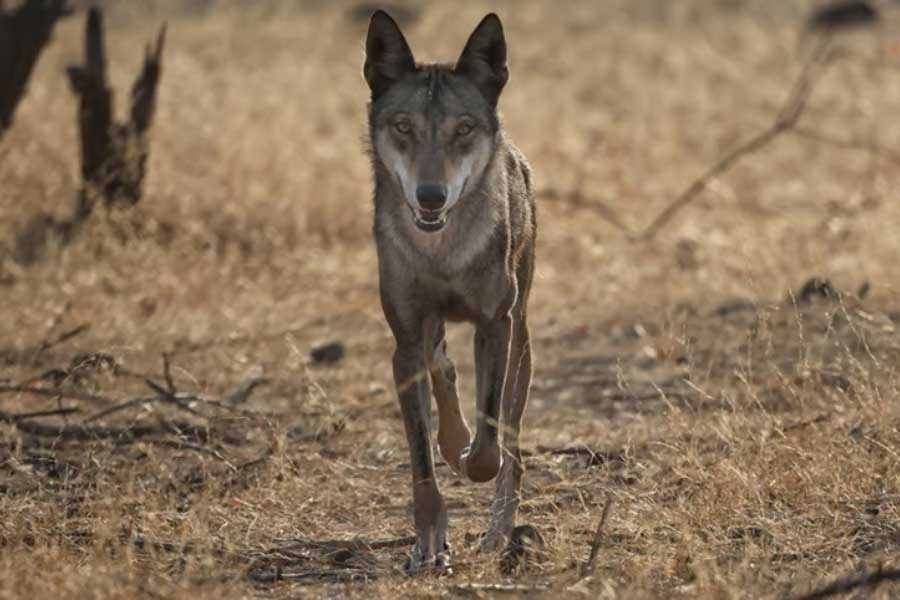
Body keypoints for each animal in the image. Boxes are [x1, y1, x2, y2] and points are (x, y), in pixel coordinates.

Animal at [363, 10, 536, 572]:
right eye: (403, 127)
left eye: (463, 129)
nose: (431, 196)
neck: (441, 252)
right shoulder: (404, 343)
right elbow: (421, 459)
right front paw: (428, 543)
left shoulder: (495, 326)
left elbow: (488, 447)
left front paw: (470, 461)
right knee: (442, 364)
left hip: (522, 342)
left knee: (512, 446)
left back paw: (498, 531)